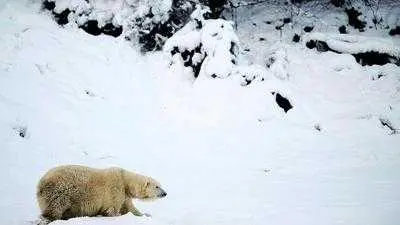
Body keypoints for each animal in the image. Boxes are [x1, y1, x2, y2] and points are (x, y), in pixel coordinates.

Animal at [35, 164, 165, 224]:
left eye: (160, 185)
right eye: (157, 186)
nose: (165, 193)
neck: (125, 181)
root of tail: (40, 183)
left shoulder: (124, 195)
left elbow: (129, 208)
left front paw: (145, 215)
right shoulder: (115, 190)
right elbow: (112, 209)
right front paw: (115, 216)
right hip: (60, 192)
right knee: (55, 208)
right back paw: (50, 218)